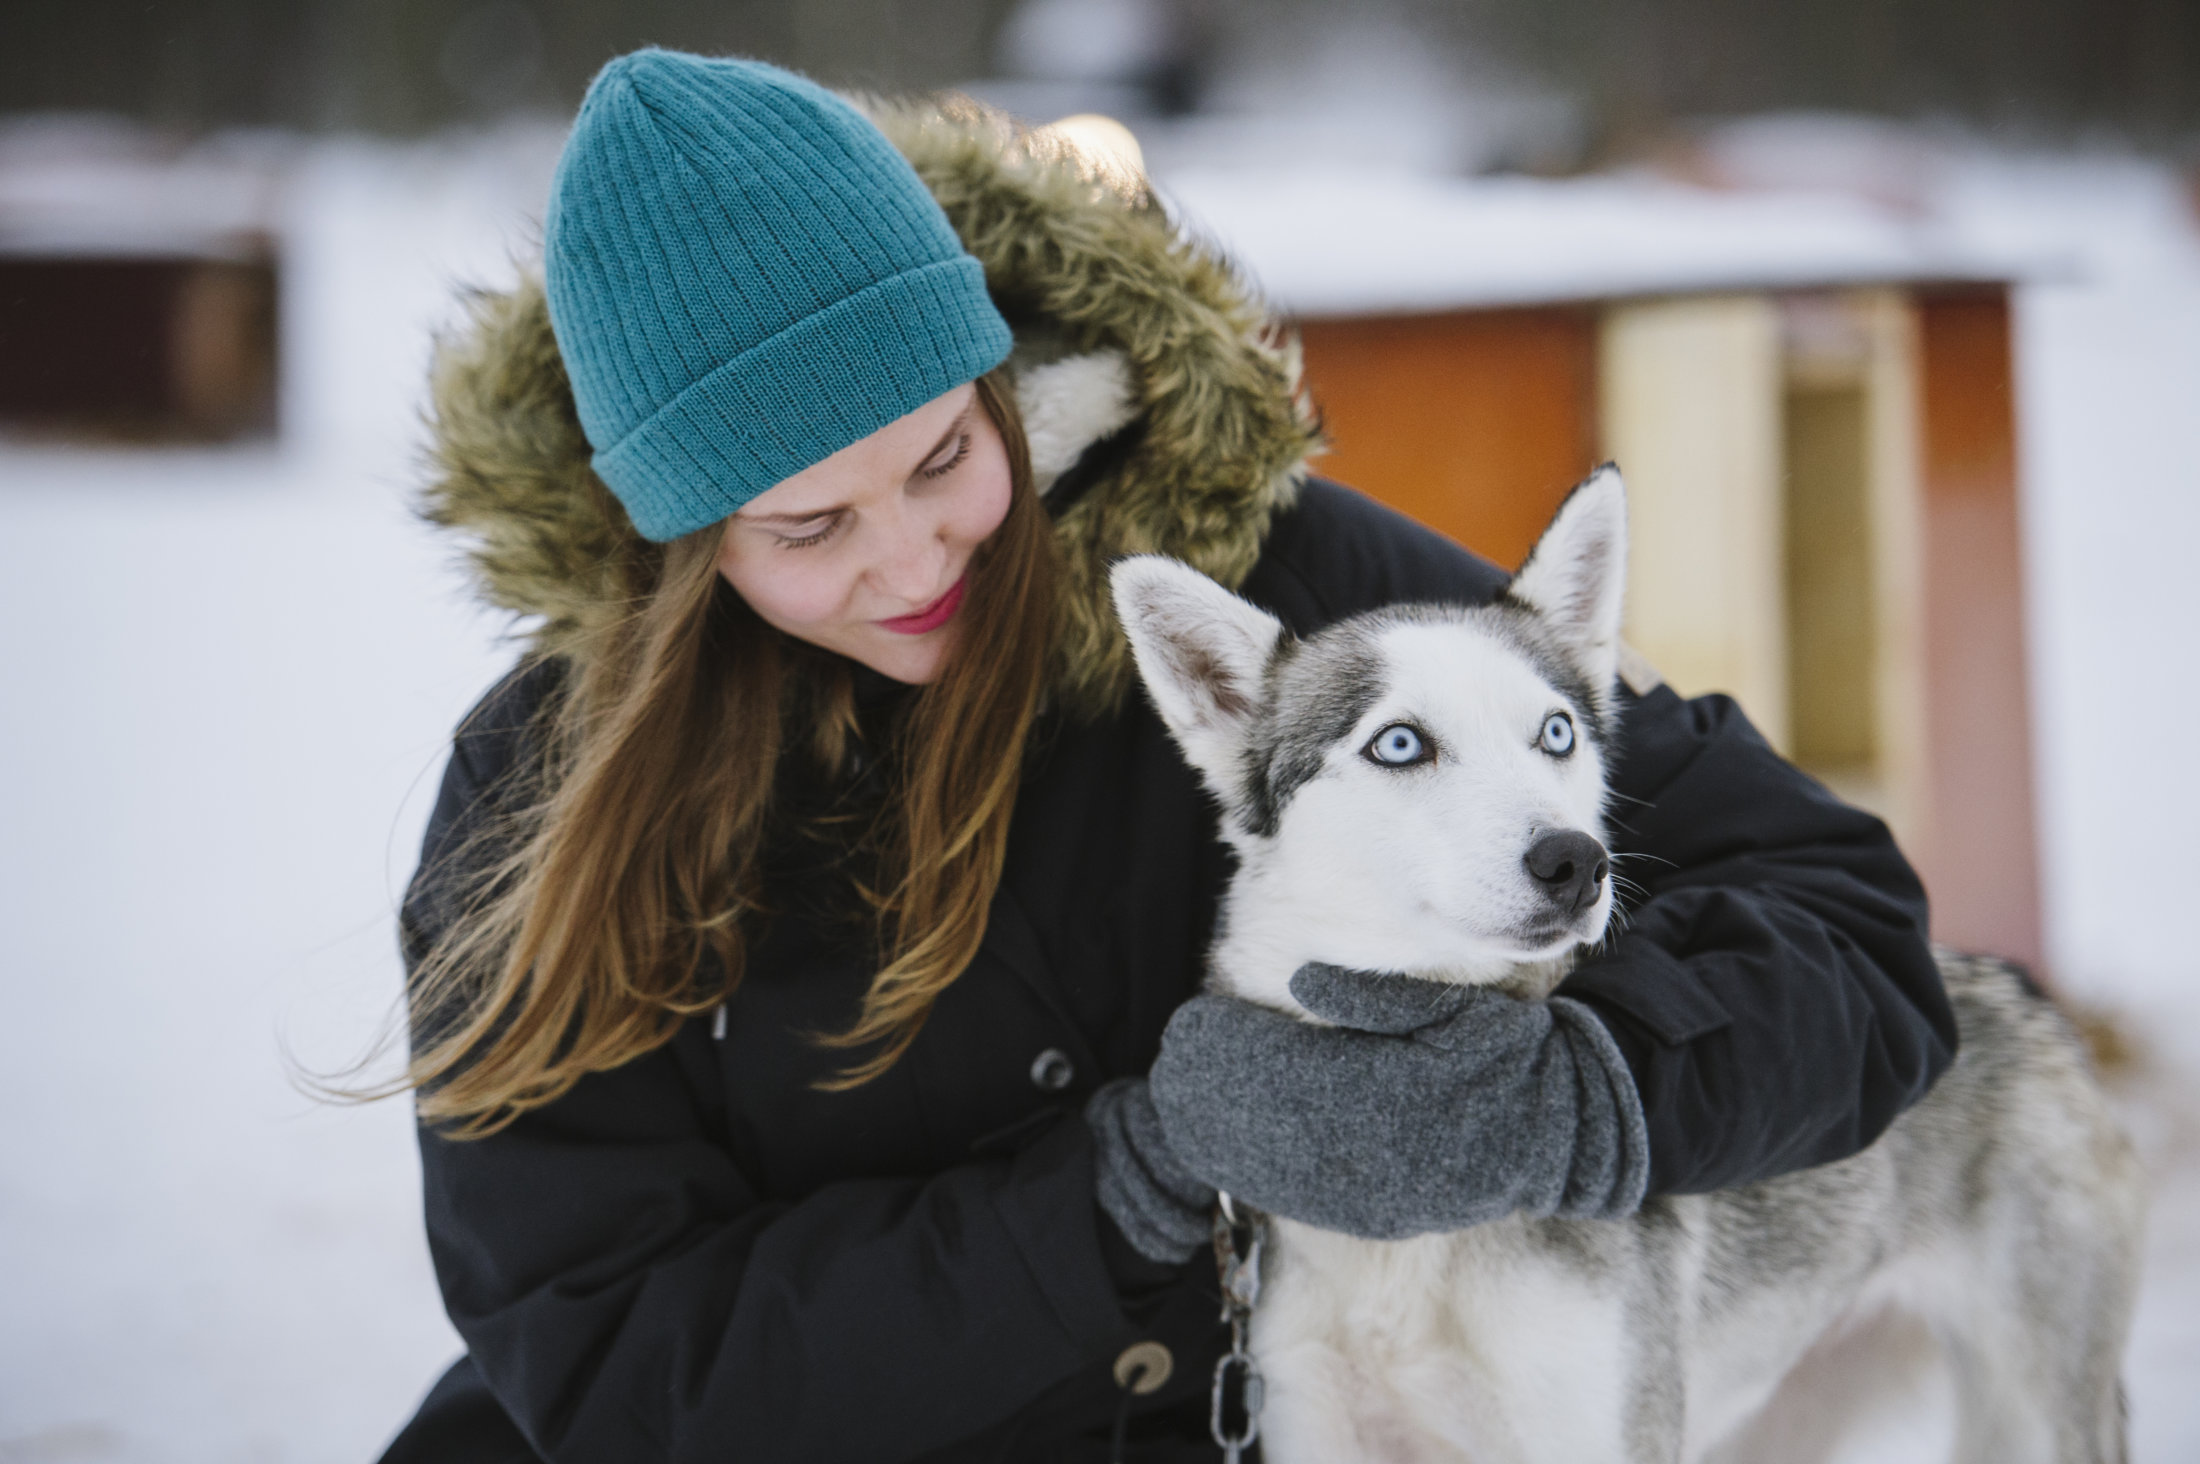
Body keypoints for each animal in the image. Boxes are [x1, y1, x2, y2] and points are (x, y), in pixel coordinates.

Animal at [1108, 471, 2138, 1461]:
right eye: (1400, 743)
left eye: (1557, 733)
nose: (1576, 861)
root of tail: (2029, 996)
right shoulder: (1314, 1420)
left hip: (2033, 1416)